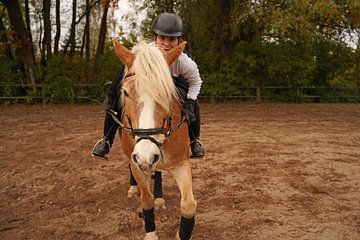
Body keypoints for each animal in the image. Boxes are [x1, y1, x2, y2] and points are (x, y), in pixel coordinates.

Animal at [112, 39, 197, 240]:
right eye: (126, 92)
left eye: (167, 93)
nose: (146, 155)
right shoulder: (137, 162)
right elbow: (146, 200)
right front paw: (150, 232)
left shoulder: (181, 163)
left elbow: (189, 205)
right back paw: (133, 188)